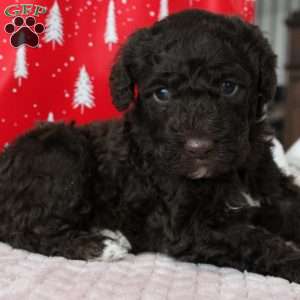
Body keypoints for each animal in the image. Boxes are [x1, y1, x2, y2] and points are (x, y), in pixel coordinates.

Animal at [0, 8, 300, 282]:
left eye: (229, 87)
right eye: (162, 94)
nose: (199, 148)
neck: (228, 174)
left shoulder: (272, 187)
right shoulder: (189, 227)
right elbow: (256, 241)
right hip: (62, 152)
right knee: (26, 228)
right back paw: (101, 246)